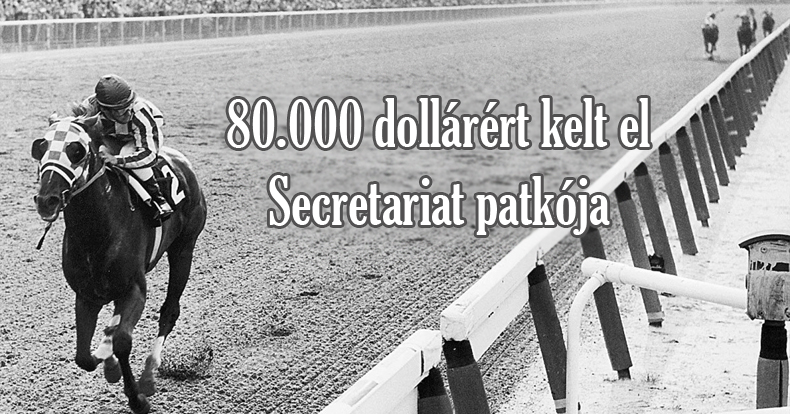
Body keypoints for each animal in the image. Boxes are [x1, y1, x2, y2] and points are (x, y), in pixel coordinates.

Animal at [31, 114, 207, 414]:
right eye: (41, 148)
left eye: (76, 150)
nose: (47, 200)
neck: (96, 231)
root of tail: (182, 161)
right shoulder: (86, 295)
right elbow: (83, 356)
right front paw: (106, 359)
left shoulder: (135, 288)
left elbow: (123, 341)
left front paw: (137, 398)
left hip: (184, 250)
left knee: (169, 312)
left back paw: (148, 376)